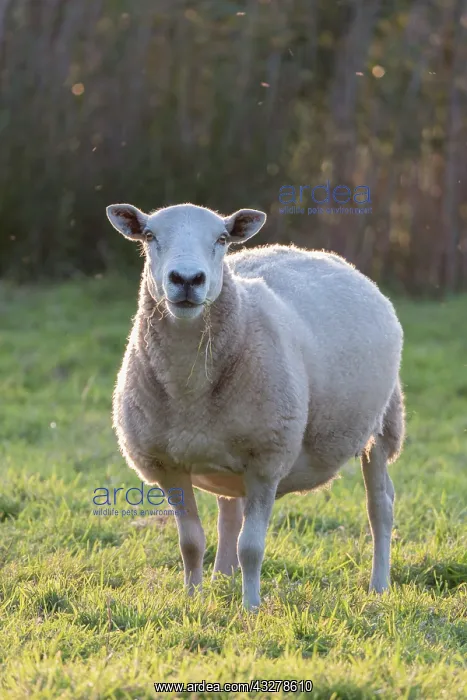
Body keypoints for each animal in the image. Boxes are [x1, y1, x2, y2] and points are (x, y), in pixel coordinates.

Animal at [106, 202, 405, 610]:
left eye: (221, 238)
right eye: (150, 236)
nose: (187, 279)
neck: (189, 388)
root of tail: (315, 253)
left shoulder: (267, 460)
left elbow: (251, 547)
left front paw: (251, 608)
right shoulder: (168, 466)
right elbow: (190, 544)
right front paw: (193, 600)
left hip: (381, 423)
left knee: (380, 506)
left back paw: (379, 585)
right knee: (229, 512)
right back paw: (222, 577)